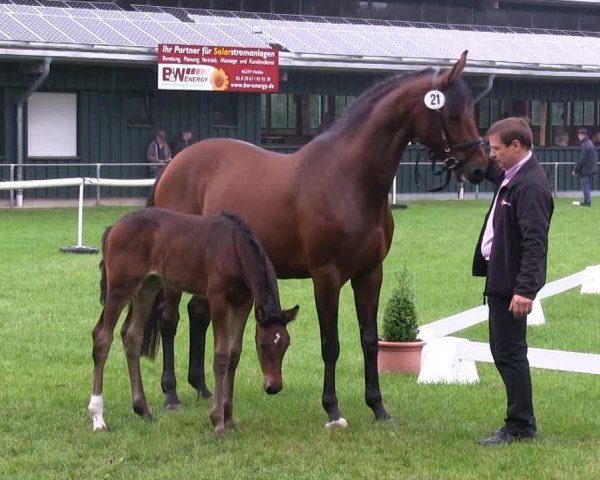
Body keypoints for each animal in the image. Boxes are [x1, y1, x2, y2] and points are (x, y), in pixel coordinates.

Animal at [148, 51, 490, 428]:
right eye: (453, 114)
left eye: (473, 112)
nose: (480, 167)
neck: (349, 181)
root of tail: (175, 165)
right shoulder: (326, 277)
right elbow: (331, 344)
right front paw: (333, 409)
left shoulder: (370, 274)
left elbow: (370, 340)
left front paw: (378, 407)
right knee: (169, 320)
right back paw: (171, 394)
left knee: (197, 314)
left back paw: (202, 387)